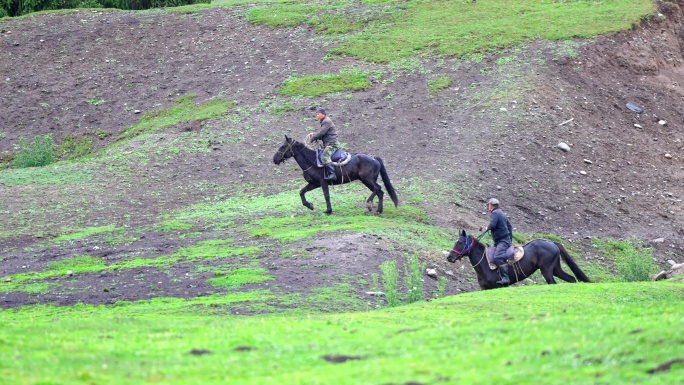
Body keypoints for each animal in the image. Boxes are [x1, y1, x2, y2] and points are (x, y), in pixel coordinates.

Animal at [448, 228, 588, 288]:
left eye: (460, 242)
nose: (449, 257)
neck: (485, 263)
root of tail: (552, 243)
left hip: (547, 270)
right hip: (556, 269)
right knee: (571, 279)